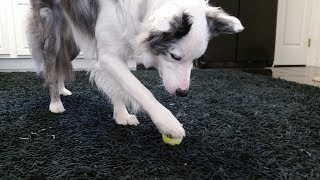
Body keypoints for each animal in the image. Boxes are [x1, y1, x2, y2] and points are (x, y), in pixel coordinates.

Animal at [27, 0, 244, 139]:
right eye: (175, 56)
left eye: (195, 60)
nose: (183, 93)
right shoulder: (109, 55)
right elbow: (138, 89)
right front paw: (168, 123)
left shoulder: (116, 52)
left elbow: (118, 86)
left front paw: (121, 115)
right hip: (52, 32)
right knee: (51, 66)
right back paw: (55, 103)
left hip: (73, 43)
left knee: (61, 64)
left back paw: (62, 89)